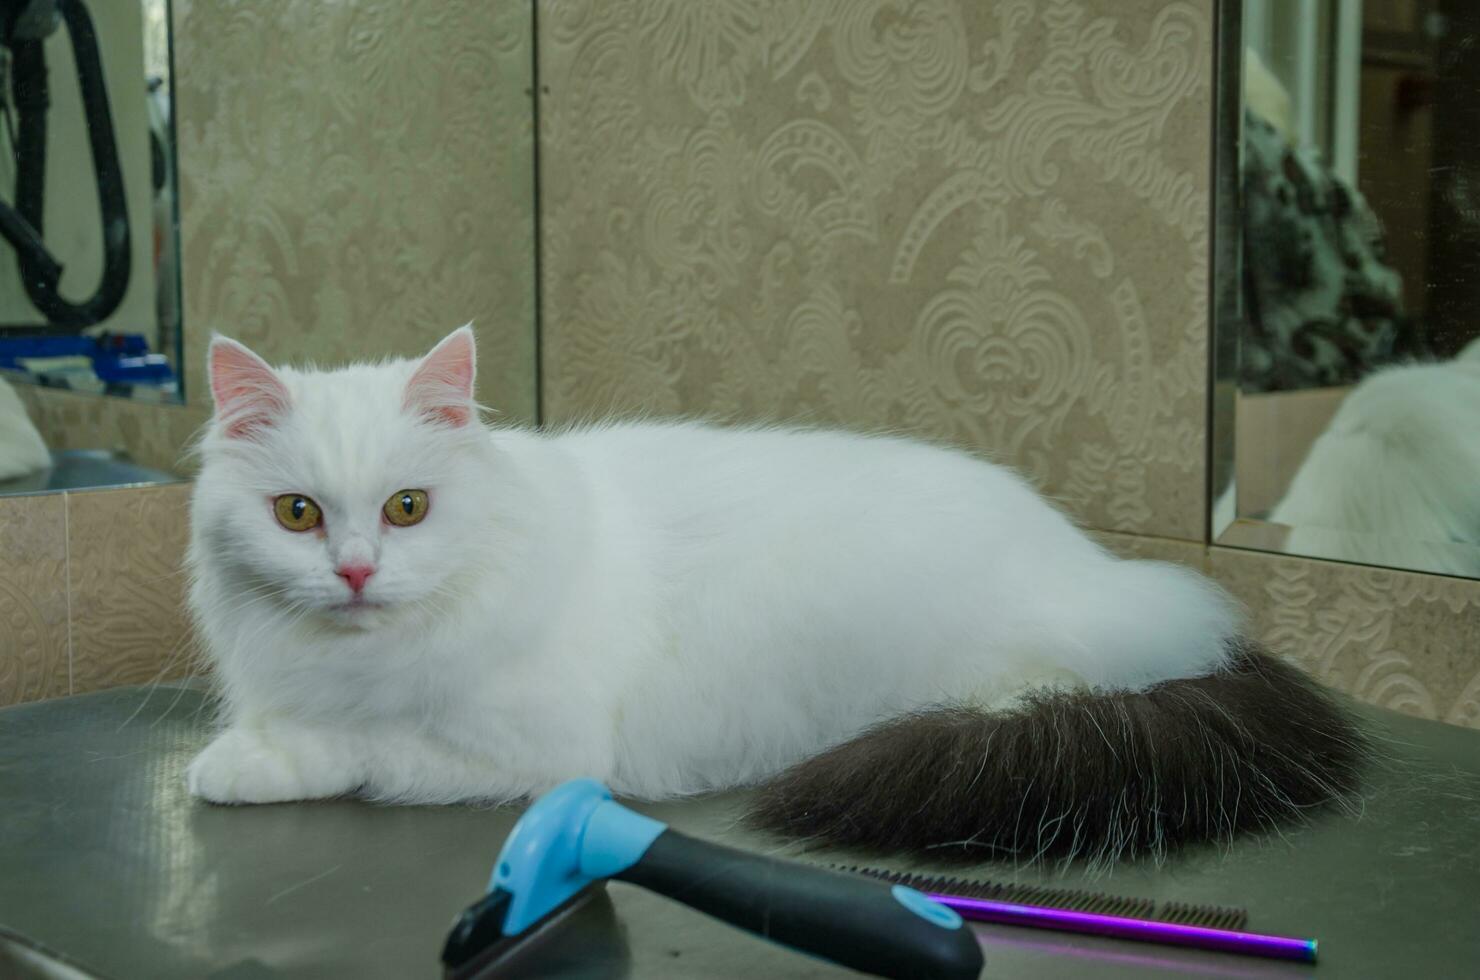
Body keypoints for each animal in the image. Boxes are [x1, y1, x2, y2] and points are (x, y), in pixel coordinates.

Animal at [190, 328, 1367, 858]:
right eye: (297, 514)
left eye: (406, 509)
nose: (353, 572)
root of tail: (1114, 574)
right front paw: (238, 751)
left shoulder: (526, 749)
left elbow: (357, 746)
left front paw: (238, 768)